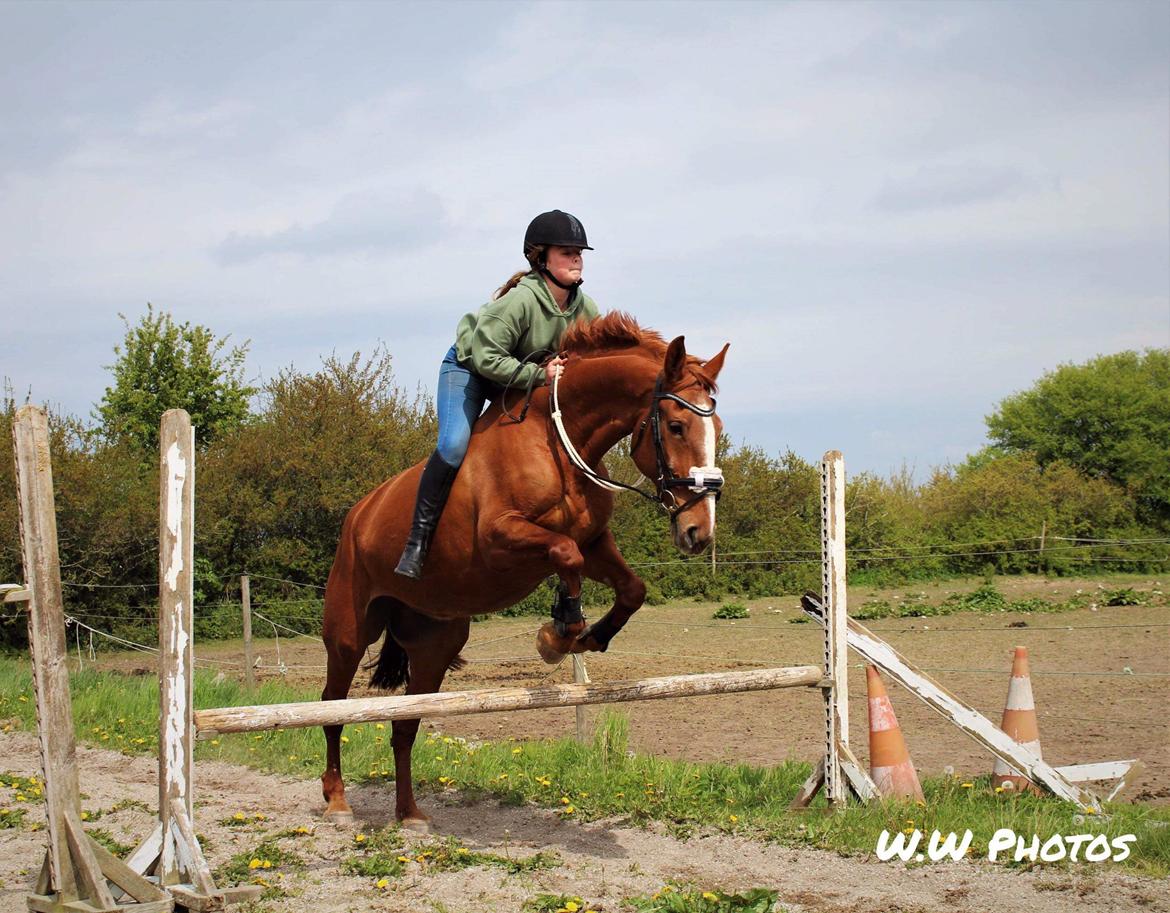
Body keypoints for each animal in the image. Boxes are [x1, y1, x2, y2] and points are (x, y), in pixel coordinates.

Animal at [315, 311, 725, 828]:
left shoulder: (595, 543)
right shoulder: (499, 539)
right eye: (675, 425)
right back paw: (337, 800)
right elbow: (565, 554)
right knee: (331, 706)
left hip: (434, 644)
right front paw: (560, 631)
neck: (558, 442)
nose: (699, 531)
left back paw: (409, 813)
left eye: (717, 428)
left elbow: (629, 585)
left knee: (406, 722)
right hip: (349, 630)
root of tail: (359, 514)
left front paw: (587, 636)